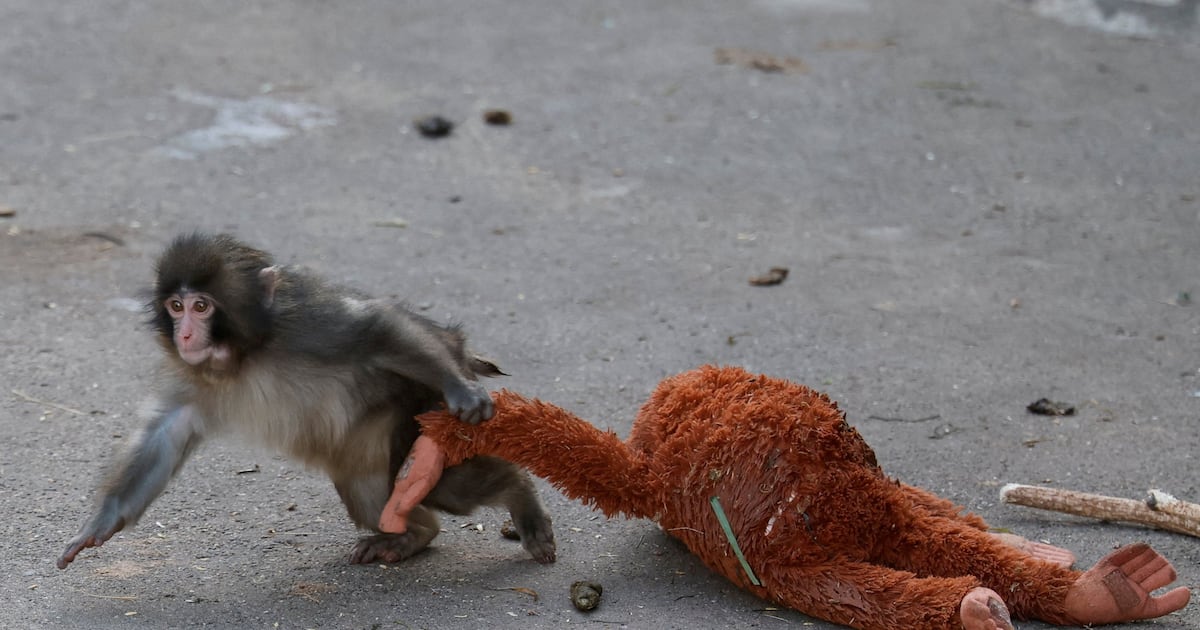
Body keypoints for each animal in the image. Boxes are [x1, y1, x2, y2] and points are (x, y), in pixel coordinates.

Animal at [57, 233, 556, 570]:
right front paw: (100, 524)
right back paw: (412, 536)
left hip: (422, 407)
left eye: (201, 306)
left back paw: (520, 496)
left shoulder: (306, 324)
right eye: (175, 307)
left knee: (453, 484)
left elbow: (372, 328)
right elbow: (166, 432)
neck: (245, 355)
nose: (184, 335)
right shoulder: (192, 374)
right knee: (373, 494)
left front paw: (463, 390)